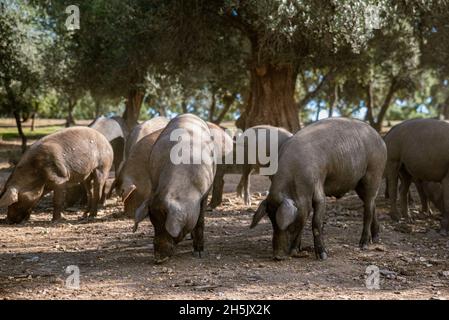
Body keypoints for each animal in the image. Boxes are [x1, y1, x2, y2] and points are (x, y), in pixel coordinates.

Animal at [133, 114, 215, 264]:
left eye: (167, 227)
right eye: (154, 225)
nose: (158, 259)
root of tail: (189, 114)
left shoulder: (204, 193)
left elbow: (200, 221)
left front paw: (199, 253)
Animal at [250, 117, 386, 260]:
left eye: (289, 226)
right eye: (272, 223)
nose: (277, 256)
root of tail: (380, 138)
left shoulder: (318, 188)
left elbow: (316, 223)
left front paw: (323, 256)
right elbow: (304, 220)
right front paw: (295, 251)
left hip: (374, 172)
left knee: (368, 208)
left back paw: (363, 244)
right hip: (358, 184)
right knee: (372, 204)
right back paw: (375, 239)